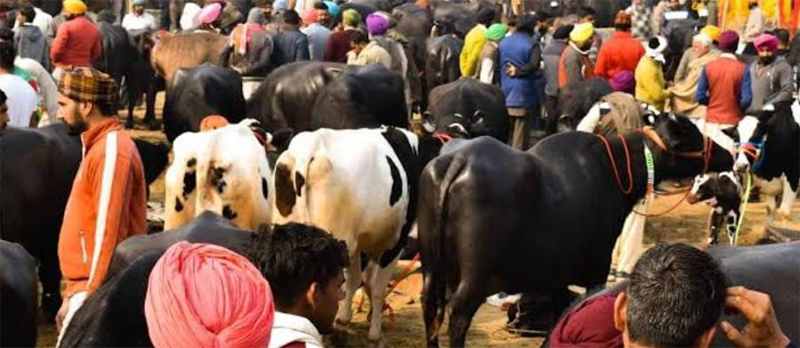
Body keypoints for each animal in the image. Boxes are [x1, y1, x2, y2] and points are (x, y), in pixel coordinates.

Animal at [274, 126, 450, 342]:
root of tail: (313, 142)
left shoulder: (359, 243)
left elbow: (356, 280)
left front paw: (346, 318)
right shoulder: (394, 243)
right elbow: (376, 287)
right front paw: (375, 332)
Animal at [416, 113, 736, 346]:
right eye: (691, 132)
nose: (728, 154)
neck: (615, 170)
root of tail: (459, 159)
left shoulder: (554, 277)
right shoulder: (596, 269)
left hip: (432, 266)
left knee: (431, 307)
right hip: (474, 277)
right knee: (458, 317)